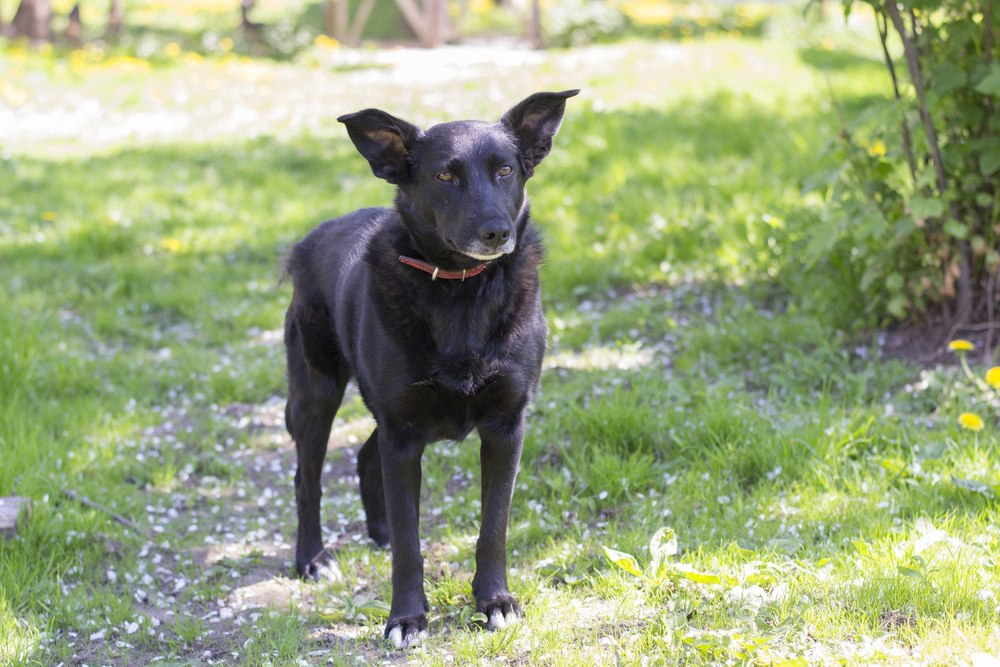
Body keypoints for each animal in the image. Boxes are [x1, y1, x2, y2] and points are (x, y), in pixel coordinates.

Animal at [282, 88, 580, 648]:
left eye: (505, 170)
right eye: (445, 175)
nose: (496, 232)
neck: (461, 289)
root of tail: (312, 237)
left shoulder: (504, 427)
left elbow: (492, 528)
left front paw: (495, 602)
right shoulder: (402, 432)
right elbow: (410, 544)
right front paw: (405, 617)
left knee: (364, 456)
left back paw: (377, 532)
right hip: (317, 393)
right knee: (307, 477)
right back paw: (312, 558)